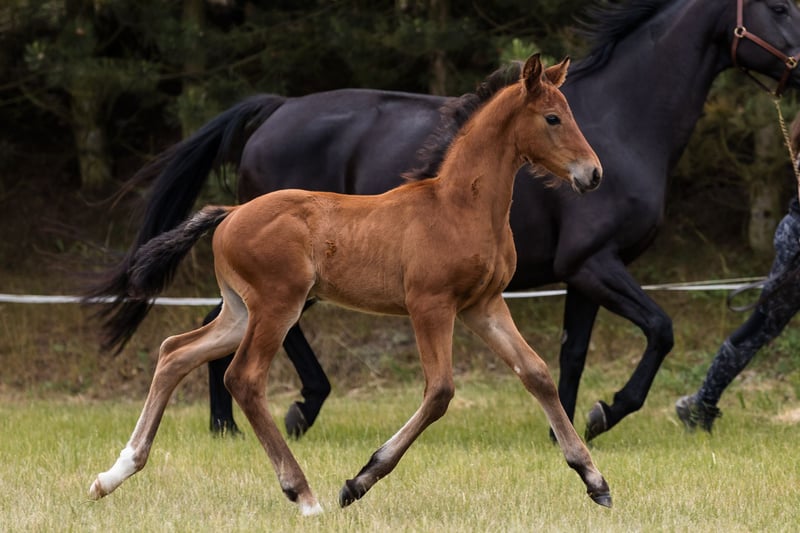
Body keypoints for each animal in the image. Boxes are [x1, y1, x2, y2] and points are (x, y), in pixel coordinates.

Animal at [87, 0, 800, 441]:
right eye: (779, 6)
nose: (590, 175)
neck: (626, 119)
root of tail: (275, 108)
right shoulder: (596, 266)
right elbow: (661, 329)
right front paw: (605, 414)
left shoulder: (581, 276)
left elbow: (569, 355)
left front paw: (567, 427)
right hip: (296, 285)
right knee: (256, 337)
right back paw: (281, 413)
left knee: (215, 328)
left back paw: (235, 423)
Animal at [87, 55, 611, 515]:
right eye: (552, 118)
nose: (593, 174)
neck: (459, 206)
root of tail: (230, 213)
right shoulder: (431, 305)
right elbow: (440, 391)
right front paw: (359, 481)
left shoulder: (484, 305)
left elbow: (537, 374)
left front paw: (595, 480)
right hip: (278, 305)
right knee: (244, 377)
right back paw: (304, 496)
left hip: (240, 312)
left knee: (175, 352)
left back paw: (113, 474)